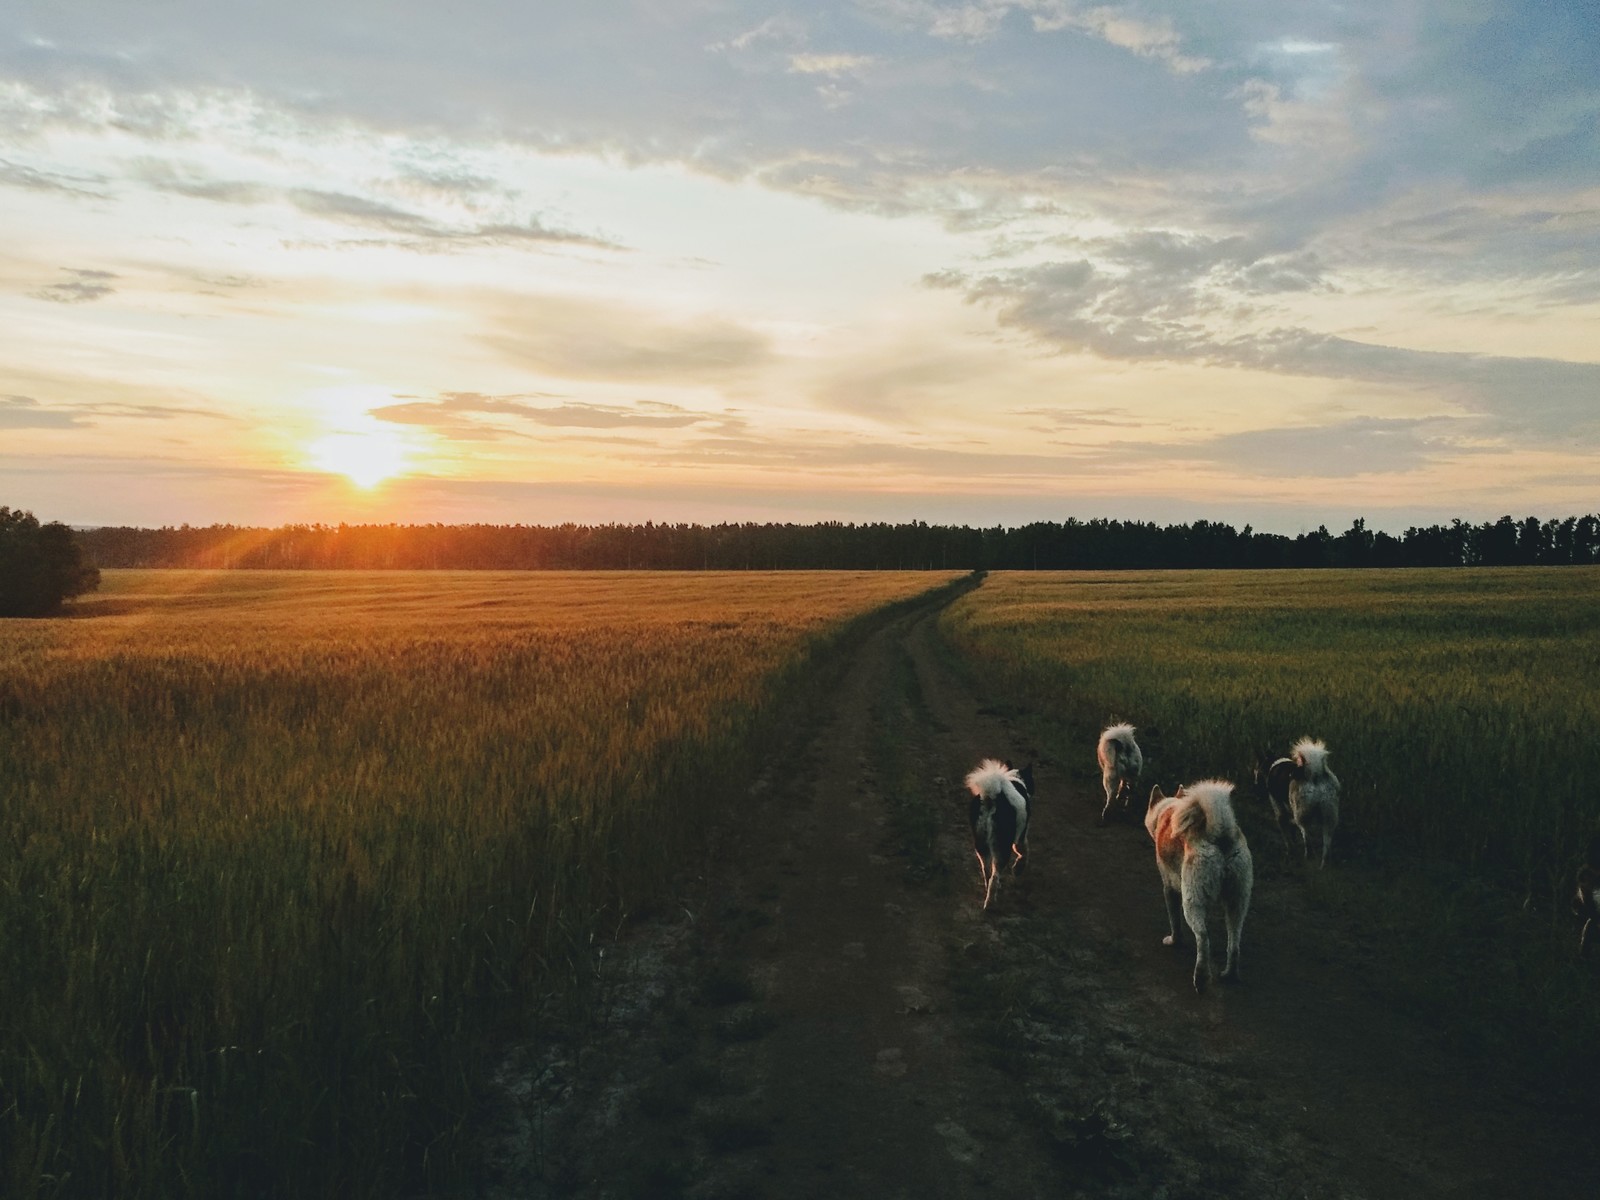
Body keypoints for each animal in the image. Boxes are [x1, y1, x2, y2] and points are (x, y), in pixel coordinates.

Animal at [960, 761, 1036, 908]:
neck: (1015, 778)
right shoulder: (1020, 837)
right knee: (995, 877)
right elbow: (1024, 852)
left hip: (982, 845)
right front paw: (1018, 869)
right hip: (1002, 848)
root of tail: (991, 797)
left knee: (988, 872)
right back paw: (990, 904)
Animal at [1145, 780, 1254, 998]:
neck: (1166, 811)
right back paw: (1229, 974)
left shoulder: (1169, 888)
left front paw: (1174, 941)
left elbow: (1175, 921)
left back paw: (1201, 978)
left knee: (1203, 938)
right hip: (1237, 903)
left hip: (1192, 901)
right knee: (1234, 943)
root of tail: (1219, 833)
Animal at [1286, 739, 1337, 870]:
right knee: (1326, 843)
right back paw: (1324, 864)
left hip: (1302, 814)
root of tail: (1315, 775)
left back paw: (1308, 855)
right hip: (1329, 816)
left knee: (1306, 836)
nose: (1290, 775)